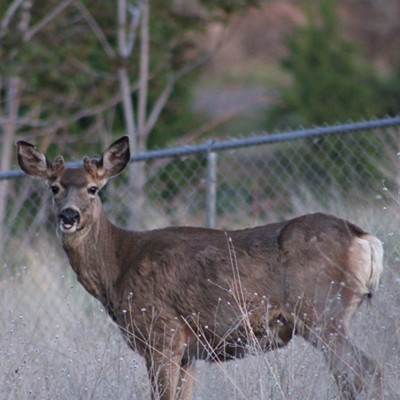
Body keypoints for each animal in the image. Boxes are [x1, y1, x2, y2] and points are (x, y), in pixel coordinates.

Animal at [17, 136, 386, 398]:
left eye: (94, 189)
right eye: (54, 187)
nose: (68, 215)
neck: (117, 268)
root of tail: (364, 237)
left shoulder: (161, 334)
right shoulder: (189, 352)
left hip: (321, 310)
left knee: (365, 372)